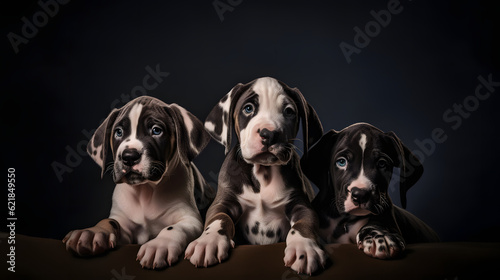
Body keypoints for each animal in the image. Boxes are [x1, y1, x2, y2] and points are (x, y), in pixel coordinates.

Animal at [62, 96, 213, 270]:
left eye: (156, 130)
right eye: (118, 132)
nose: (129, 157)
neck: (145, 191)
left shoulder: (190, 219)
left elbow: (173, 227)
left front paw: (159, 244)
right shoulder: (124, 224)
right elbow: (109, 221)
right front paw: (92, 232)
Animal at [185, 77, 328, 274]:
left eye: (289, 111)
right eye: (248, 108)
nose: (269, 134)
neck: (263, 174)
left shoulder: (301, 205)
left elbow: (303, 224)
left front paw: (304, 248)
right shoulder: (224, 202)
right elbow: (218, 218)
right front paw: (208, 241)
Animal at [300, 123, 438, 260]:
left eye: (382, 163)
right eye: (341, 162)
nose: (360, 194)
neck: (344, 221)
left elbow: (377, 223)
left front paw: (380, 236)